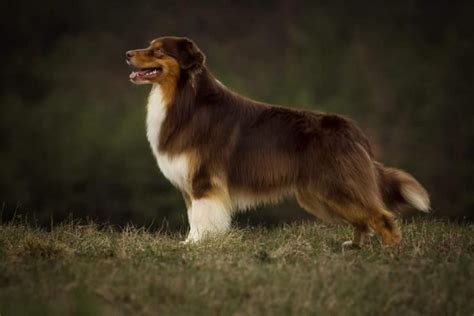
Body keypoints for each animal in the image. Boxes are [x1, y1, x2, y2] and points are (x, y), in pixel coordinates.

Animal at [126, 35, 430, 246]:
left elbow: (202, 217)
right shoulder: (190, 185)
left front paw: (199, 246)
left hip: (337, 185)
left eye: (158, 50)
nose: (127, 54)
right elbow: (193, 217)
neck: (183, 99)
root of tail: (353, 129)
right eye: (149, 46)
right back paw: (354, 246)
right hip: (321, 193)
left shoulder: (204, 180)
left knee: (380, 216)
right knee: (363, 218)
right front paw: (189, 243)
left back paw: (390, 252)